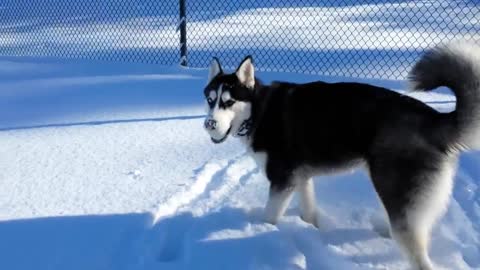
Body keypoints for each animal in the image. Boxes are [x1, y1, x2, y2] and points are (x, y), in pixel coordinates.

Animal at [202, 41, 480, 270]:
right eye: (210, 100)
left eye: (229, 102)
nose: (209, 124)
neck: (259, 110)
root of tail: (432, 117)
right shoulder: (299, 177)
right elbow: (309, 209)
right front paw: (313, 228)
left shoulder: (281, 179)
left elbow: (270, 216)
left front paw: (262, 230)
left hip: (395, 189)